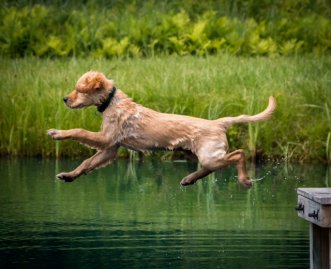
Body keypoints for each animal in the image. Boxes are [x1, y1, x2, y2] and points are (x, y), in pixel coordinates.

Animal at [48, 70, 276, 185]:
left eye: (80, 90)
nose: (65, 99)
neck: (112, 102)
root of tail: (218, 122)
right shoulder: (110, 149)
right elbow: (87, 163)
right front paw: (69, 175)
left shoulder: (106, 139)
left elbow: (79, 131)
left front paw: (57, 133)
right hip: (197, 154)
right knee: (211, 168)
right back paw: (189, 179)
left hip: (210, 154)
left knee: (238, 154)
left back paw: (245, 180)